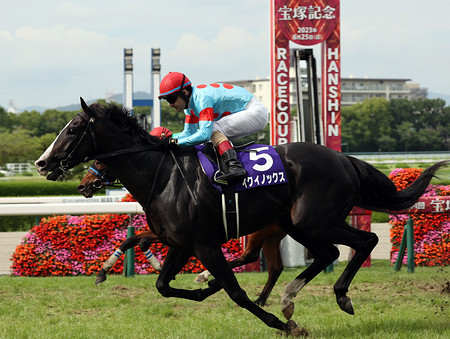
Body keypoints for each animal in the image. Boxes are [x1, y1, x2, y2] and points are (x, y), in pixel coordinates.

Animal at [79, 161, 286, 306]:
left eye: (100, 162)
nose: (83, 185)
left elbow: (139, 240)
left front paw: (162, 267)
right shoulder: (168, 233)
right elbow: (132, 240)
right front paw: (104, 271)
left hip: (261, 230)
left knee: (250, 255)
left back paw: (205, 276)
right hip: (274, 234)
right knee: (275, 267)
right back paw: (260, 299)